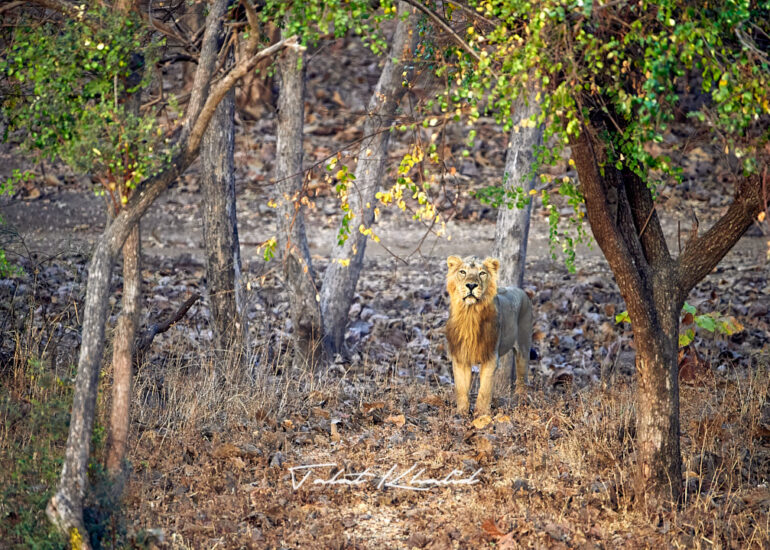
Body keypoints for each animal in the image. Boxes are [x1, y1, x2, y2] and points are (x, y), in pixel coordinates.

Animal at [445, 255, 533, 415]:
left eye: (482, 273)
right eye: (462, 272)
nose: (471, 285)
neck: (470, 314)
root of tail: (524, 292)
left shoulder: (491, 357)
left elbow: (485, 389)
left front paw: (481, 415)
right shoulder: (460, 357)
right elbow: (461, 389)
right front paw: (461, 413)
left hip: (523, 347)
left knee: (522, 378)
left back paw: (520, 401)